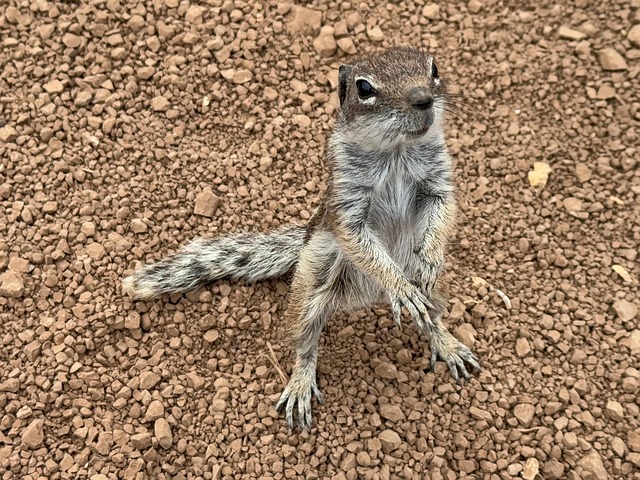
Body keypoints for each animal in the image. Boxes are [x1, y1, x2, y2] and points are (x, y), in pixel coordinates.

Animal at [122, 47, 480, 429]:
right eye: (364, 88)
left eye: (434, 68)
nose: (423, 98)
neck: (396, 150)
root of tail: (366, 298)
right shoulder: (346, 206)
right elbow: (360, 243)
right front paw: (399, 286)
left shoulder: (437, 182)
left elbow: (443, 212)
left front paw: (430, 259)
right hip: (311, 286)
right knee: (304, 344)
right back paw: (300, 385)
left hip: (437, 293)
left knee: (434, 316)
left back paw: (447, 344)